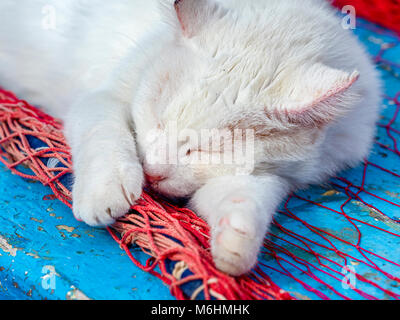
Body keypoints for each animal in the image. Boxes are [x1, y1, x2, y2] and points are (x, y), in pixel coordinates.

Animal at [0, 0, 382, 276]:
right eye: (157, 119)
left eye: (205, 150)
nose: (152, 172)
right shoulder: (101, 97)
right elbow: (105, 132)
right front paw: (104, 190)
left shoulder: (278, 175)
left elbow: (249, 195)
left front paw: (236, 239)